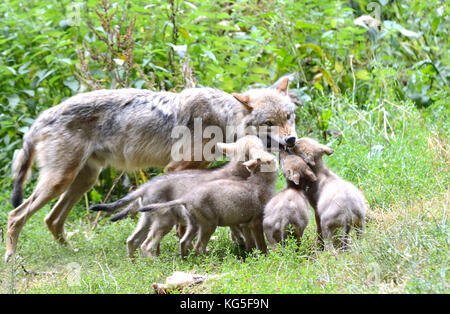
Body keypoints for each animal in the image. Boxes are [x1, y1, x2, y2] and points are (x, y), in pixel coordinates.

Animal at [139, 150, 278, 258]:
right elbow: (262, 244)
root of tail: (186, 198)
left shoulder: (245, 223)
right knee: (198, 246)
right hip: (208, 225)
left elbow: (251, 243)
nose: (276, 156)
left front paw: (250, 254)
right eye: (270, 160)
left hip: (195, 225)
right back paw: (207, 260)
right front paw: (264, 257)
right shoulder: (256, 222)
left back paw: (187, 260)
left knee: (185, 242)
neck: (260, 183)